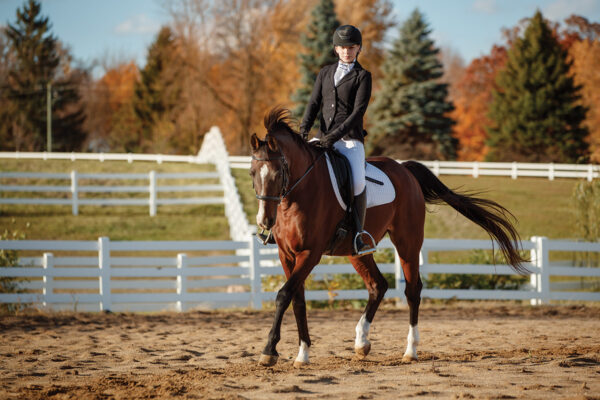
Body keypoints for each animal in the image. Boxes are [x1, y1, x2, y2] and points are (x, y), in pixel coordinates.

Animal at [247, 107, 524, 368]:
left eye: (277, 173)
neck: (298, 195)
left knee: (412, 290)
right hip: (356, 251)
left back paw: (410, 351)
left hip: (407, 241)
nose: (264, 221)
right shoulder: (287, 254)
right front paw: (302, 354)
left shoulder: (310, 253)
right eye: (252, 173)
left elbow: (284, 295)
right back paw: (361, 343)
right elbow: (297, 300)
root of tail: (404, 169)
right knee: (377, 285)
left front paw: (269, 351)